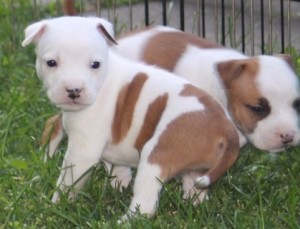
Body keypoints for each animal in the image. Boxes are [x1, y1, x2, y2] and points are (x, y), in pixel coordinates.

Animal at [22, 17, 239, 217]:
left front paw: (56, 205)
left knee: (146, 204)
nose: (73, 90)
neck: (103, 78)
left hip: (155, 158)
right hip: (197, 173)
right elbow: (117, 167)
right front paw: (118, 186)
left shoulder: (83, 151)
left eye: (95, 64)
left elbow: (68, 181)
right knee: (195, 191)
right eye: (51, 63)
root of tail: (225, 126)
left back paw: (127, 220)